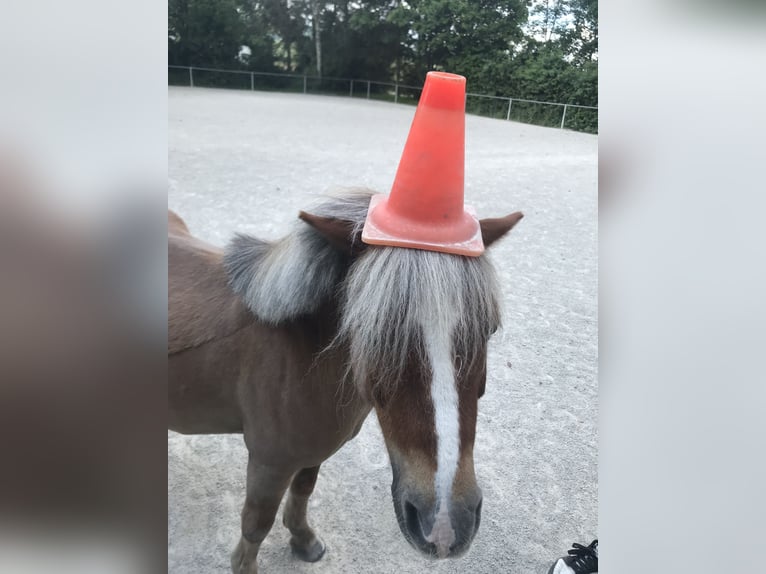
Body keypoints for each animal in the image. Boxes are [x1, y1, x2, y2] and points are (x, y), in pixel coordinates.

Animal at [169, 191, 524, 572]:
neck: (298, 353)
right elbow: (256, 524)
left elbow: (303, 491)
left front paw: (303, 539)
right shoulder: (269, 462)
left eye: (488, 329)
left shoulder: (312, 454)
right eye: (376, 334)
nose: (445, 525)